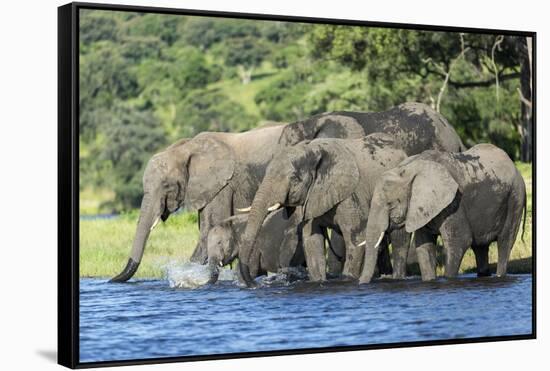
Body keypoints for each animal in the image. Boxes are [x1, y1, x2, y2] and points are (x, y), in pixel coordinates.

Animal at [238, 134, 410, 288]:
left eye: (294, 179)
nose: (254, 284)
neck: (311, 151)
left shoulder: (350, 194)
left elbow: (356, 239)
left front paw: (347, 280)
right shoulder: (311, 198)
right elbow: (312, 242)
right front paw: (319, 282)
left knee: (399, 240)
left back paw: (397, 278)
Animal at [360, 144, 528, 284]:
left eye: (390, 204)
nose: (361, 284)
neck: (411, 168)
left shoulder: (454, 202)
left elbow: (458, 241)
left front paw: (448, 281)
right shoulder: (422, 209)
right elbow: (424, 246)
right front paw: (429, 281)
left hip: (515, 199)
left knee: (505, 242)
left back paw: (500, 275)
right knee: (480, 247)